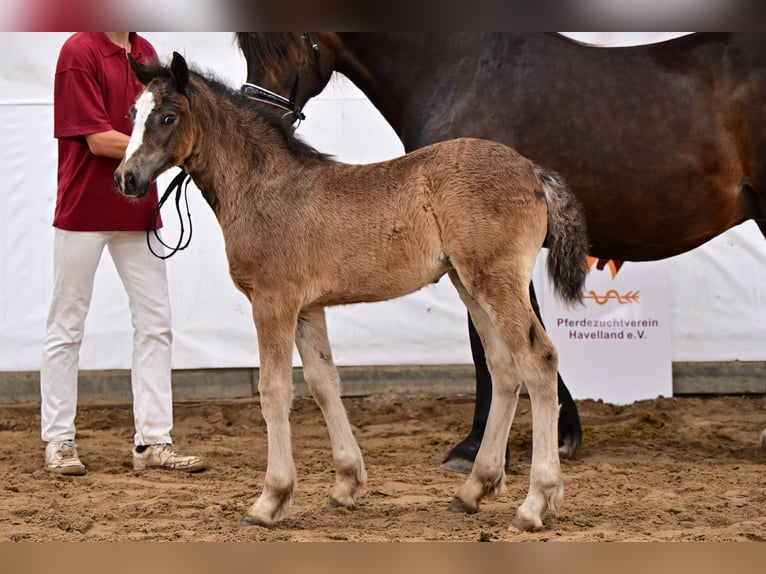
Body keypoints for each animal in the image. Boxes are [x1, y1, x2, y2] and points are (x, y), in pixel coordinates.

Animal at [117, 51, 592, 532]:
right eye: (133, 114)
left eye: (169, 116)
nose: (126, 178)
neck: (263, 186)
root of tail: (534, 171)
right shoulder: (308, 308)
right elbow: (324, 383)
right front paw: (345, 484)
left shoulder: (273, 300)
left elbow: (274, 390)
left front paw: (269, 500)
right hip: (470, 285)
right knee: (504, 368)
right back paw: (473, 489)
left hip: (496, 281)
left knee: (537, 360)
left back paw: (535, 504)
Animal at [236, 32, 766, 468]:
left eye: (281, 39)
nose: (262, 125)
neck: (459, 70)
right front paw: (562, 432)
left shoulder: (481, 252)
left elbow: (488, 343)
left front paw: (476, 447)